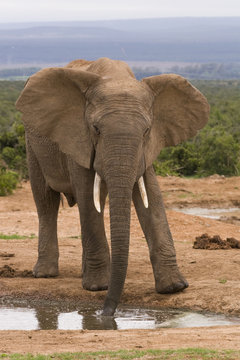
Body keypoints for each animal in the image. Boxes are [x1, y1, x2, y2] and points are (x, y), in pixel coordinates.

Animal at [15, 56, 210, 316]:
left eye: (147, 130)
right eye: (96, 129)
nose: (106, 312)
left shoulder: (146, 149)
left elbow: (152, 197)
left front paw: (174, 287)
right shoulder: (79, 138)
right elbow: (88, 198)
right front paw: (98, 287)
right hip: (32, 142)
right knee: (46, 201)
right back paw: (46, 274)